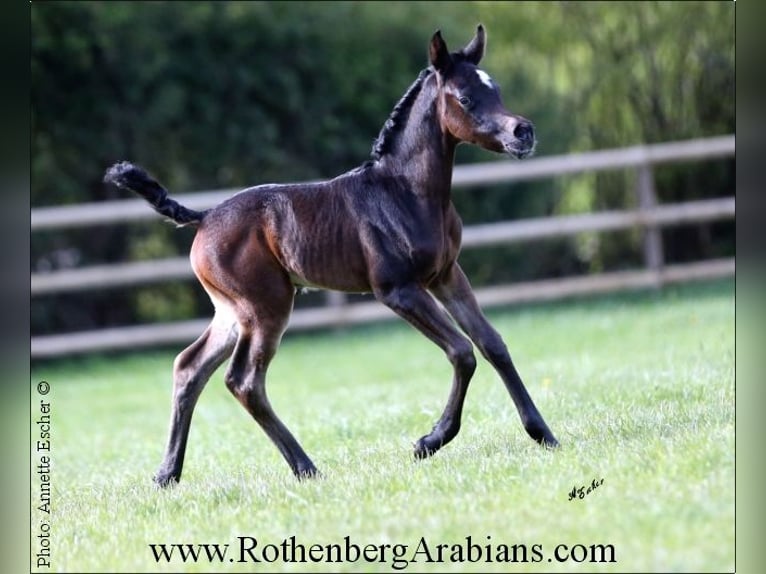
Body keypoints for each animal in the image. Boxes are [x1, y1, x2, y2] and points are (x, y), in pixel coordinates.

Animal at [103, 24, 560, 488]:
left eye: (496, 89)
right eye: (465, 98)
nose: (523, 132)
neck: (407, 192)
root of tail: (204, 216)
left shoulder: (447, 274)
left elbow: (492, 344)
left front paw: (544, 434)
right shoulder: (397, 290)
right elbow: (462, 352)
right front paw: (430, 441)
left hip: (232, 312)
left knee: (189, 367)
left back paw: (167, 474)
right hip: (265, 307)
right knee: (244, 381)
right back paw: (305, 467)